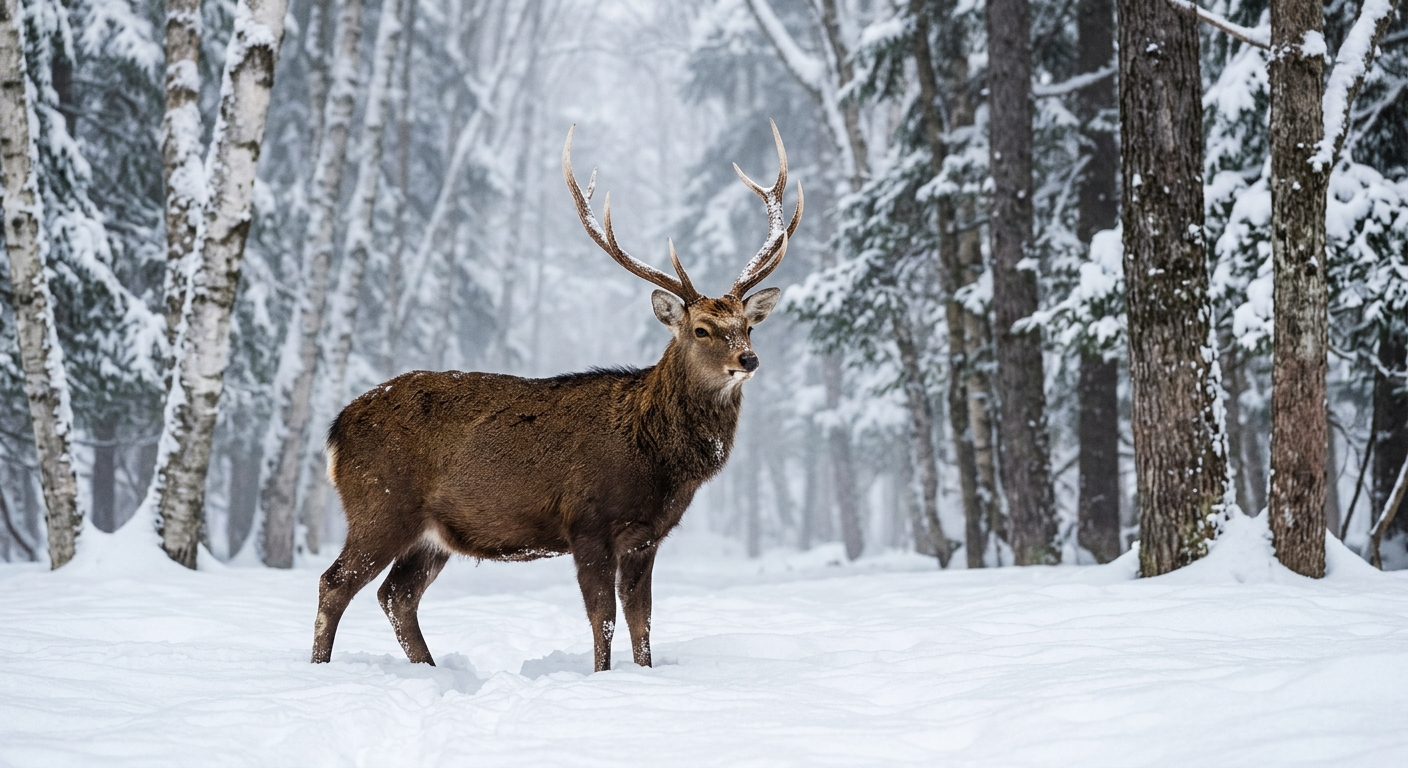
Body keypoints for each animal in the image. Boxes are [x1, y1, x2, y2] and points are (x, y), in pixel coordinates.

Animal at [311, 122, 802, 673]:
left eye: (747, 326)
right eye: (701, 329)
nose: (748, 359)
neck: (655, 456)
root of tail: (335, 429)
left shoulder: (646, 536)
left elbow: (642, 620)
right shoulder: (587, 522)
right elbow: (603, 618)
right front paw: (601, 677)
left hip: (431, 533)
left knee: (397, 594)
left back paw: (428, 669)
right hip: (380, 504)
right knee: (335, 583)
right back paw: (320, 668)